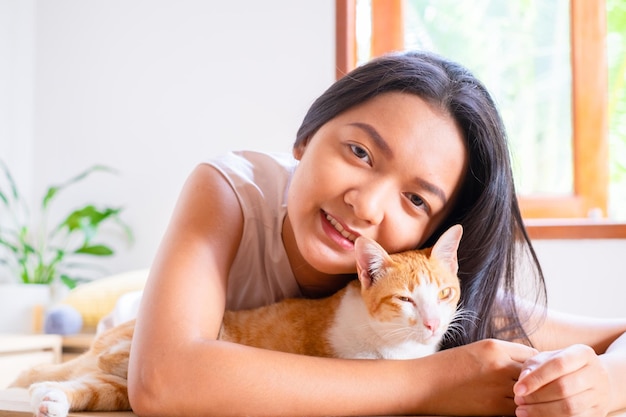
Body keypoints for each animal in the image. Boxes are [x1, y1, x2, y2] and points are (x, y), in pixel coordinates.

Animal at [7, 224, 460, 416]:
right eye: (405, 299)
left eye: (444, 294)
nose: (433, 325)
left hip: (126, 386)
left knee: (89, 384)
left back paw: (49, 396)